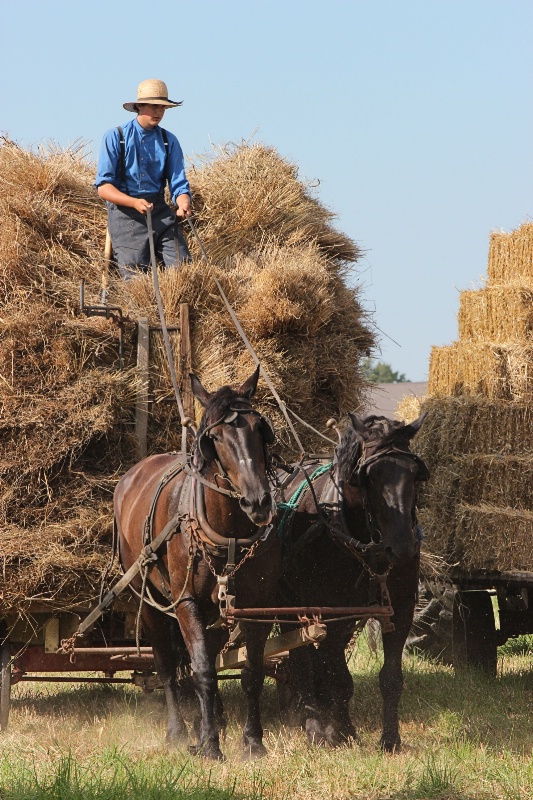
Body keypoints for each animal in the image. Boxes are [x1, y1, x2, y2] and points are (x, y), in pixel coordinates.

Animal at [114, 366, 280, 760]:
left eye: (259, 427)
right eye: (215, 437)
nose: (258, 502)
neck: (229, 531)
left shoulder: (257, 607)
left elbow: (251, 672)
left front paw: (252, 741)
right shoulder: (186, 602)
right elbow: (203, 670)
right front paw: (210, 745)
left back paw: (210, 720)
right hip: (150, 602)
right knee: (166, 665)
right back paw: (178, 731)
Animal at [276, 412, 426, 752]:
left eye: (415, 474)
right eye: (369, 476)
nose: (402, 547)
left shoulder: (400, 608)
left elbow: (391, 677)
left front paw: (390, 739)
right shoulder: (332, 612)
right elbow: (338, 676)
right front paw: (341, 731)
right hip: (287, 604)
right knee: (302, 659)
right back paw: (312, 722)